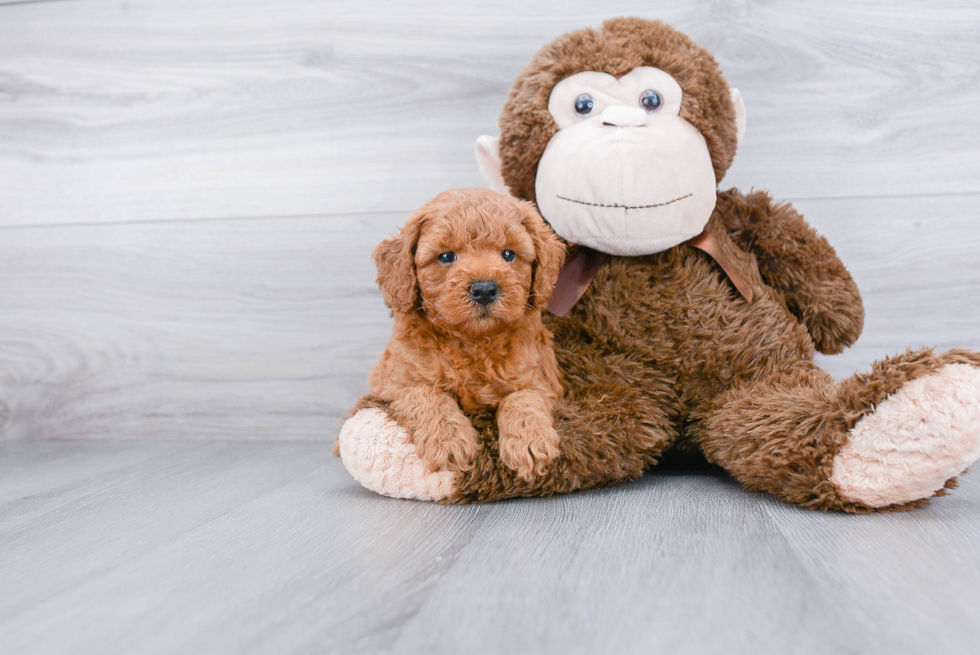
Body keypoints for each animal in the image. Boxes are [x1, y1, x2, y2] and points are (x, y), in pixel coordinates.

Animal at [368, 187, 568, 480]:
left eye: (508, 254)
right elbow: (426, 394)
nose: (484, 289)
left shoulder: (543, 381)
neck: (473, 342)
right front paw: (448, 441)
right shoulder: (394, 384)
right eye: (446, 257)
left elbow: (523, 398)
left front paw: (530, 441)